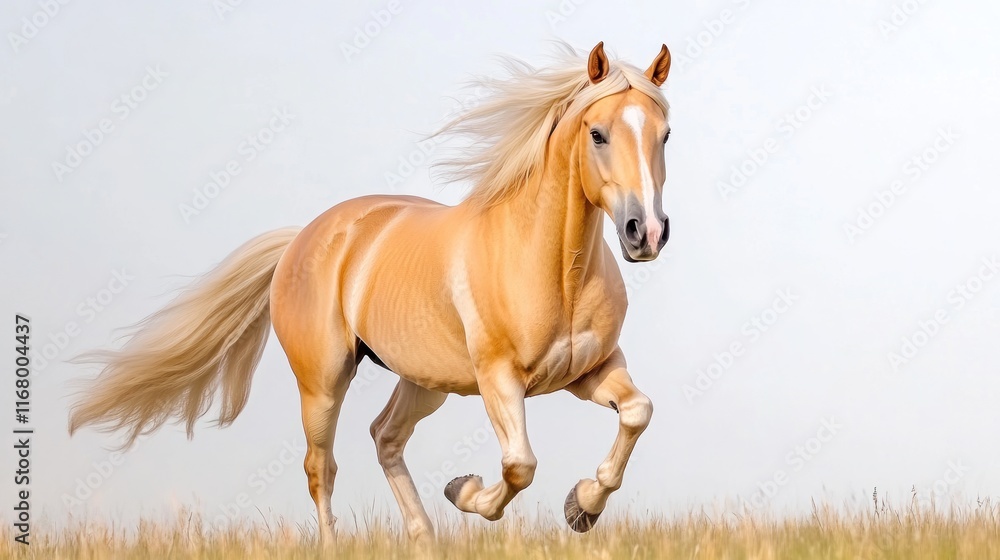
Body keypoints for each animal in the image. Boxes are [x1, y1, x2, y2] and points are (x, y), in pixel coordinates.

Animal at [69, 41, 674, 544]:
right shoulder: (499, 379)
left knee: (385, 437)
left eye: (665, 134)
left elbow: (638, 411)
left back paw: (425, 537)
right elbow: (519, 465)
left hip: (426, 381)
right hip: (324, 382)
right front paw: (472, 494)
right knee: (322, 467)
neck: (552, 269)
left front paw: (582, 506)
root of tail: (302, 239)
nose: (646, 233)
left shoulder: (589, 372)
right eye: (597, 134)